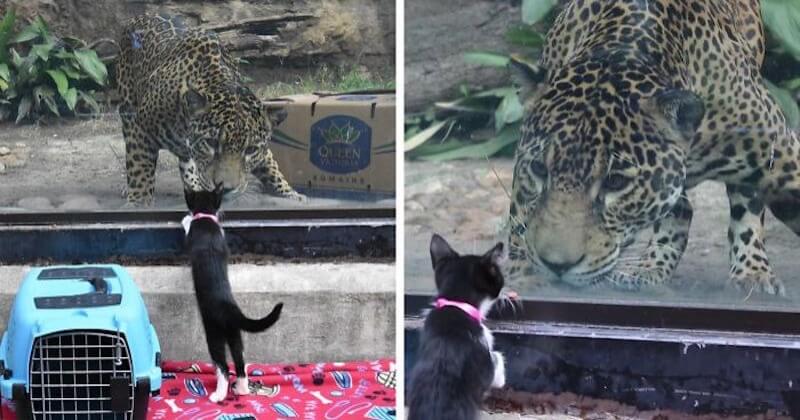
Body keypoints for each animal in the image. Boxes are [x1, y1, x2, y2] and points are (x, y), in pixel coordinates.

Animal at [184, 185, 284, 402]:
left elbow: (187, 227)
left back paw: (218, 395)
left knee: (222, 366)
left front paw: (186, 219)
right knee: (240, 361)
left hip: (214, 333)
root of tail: (230, 309)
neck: (206, 219)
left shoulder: (192, 234)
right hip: (235, 334)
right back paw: (242, 389)